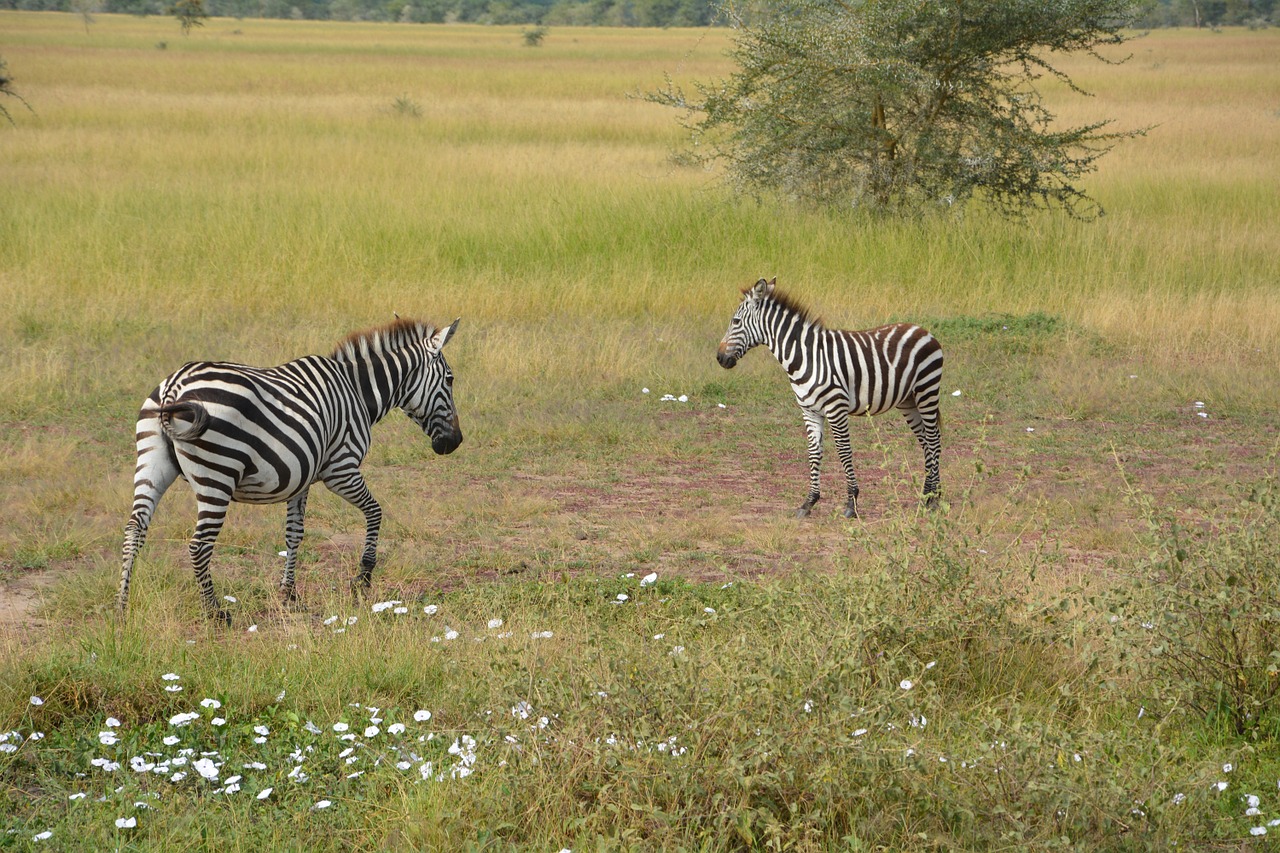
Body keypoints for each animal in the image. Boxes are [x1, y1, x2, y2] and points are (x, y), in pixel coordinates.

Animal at [117, 315, 463, 622]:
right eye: (450, 379)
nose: (454, 442)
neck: (358, 393)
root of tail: (175, 385)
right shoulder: (341, 469)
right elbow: (375, 512)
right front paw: (363, 578)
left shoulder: (302, 478)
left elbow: (294, 534)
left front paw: (289, 593)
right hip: (217, 474)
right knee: (199, 545)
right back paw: (215, 612)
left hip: (151, 462)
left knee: (135, 529)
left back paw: (122, 606)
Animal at [716, 279, 947, 517]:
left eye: (735, 321)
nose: (719, 358)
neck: (805, 357)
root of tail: (923, 330)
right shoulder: (809, 411)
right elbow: (814, 453)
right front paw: (809, 502)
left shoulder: (836, 409)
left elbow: (844, 452)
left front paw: (851, 503)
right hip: (908, 401)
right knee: (925, 441)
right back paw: (927, 496)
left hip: (927, 390)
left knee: (933, 439)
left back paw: (934, 500)